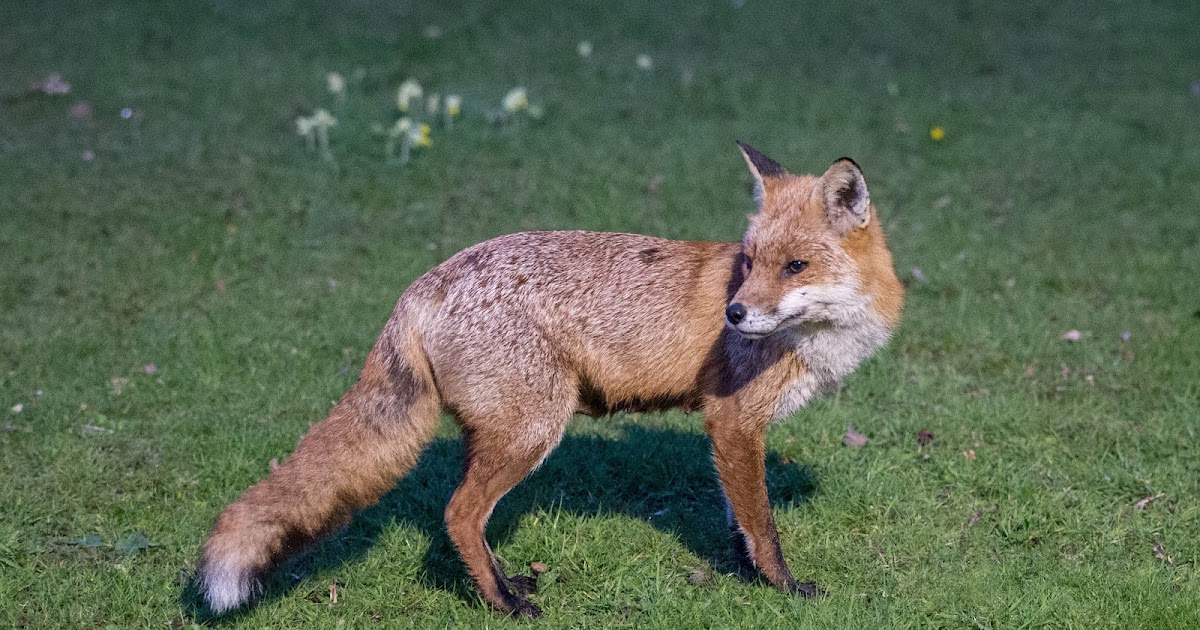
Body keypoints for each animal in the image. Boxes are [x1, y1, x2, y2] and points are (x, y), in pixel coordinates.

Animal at [197, 142, 904, 617]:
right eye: (752, 262)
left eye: (794, 266)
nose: (733, 314)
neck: (818, 337)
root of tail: (424, 283)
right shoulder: (735, 421)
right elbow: (763, 525)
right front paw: (785, 588)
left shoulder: (727, 430)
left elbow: (738, 521)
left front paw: (749, 580)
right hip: (533, 429)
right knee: (457, 514)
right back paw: (505, 606)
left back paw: (507, 584)